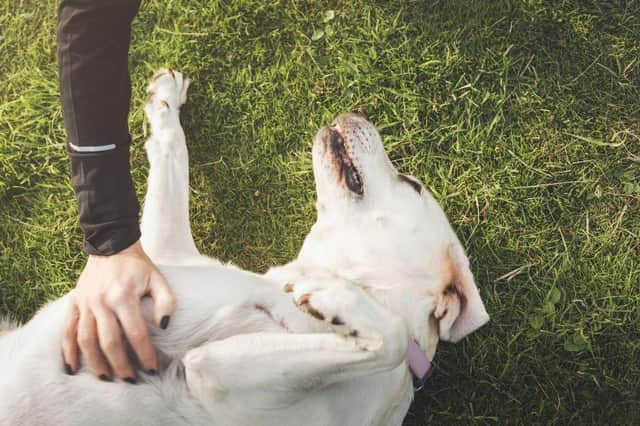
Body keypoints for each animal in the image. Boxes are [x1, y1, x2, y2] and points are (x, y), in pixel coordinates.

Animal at [0, 70, 490, 426]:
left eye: (412, 184)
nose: (359, 108)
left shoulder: (213, 376)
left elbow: (391, 337)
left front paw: (337, 299)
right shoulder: (156, 259)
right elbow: (172, 155)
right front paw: (166, 103)